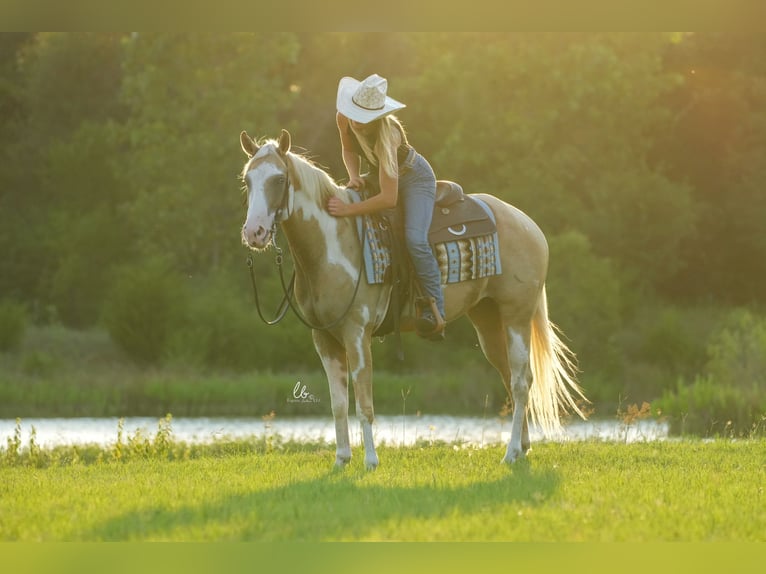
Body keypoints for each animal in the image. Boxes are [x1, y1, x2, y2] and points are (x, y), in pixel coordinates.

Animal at [240, 129, 588, 468]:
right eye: (248, 180)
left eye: (279, 180)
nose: (254, 232)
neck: (334, 244)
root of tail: (528, 225)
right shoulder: (324, 338)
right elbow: (338, 403)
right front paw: (341, 460)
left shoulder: (356, 333)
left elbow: (364, 402)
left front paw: (370, 461)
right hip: (488, 321)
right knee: (509, 377)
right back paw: (521, 450)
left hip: (517, 315)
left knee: (520, 380)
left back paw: (511, 452)